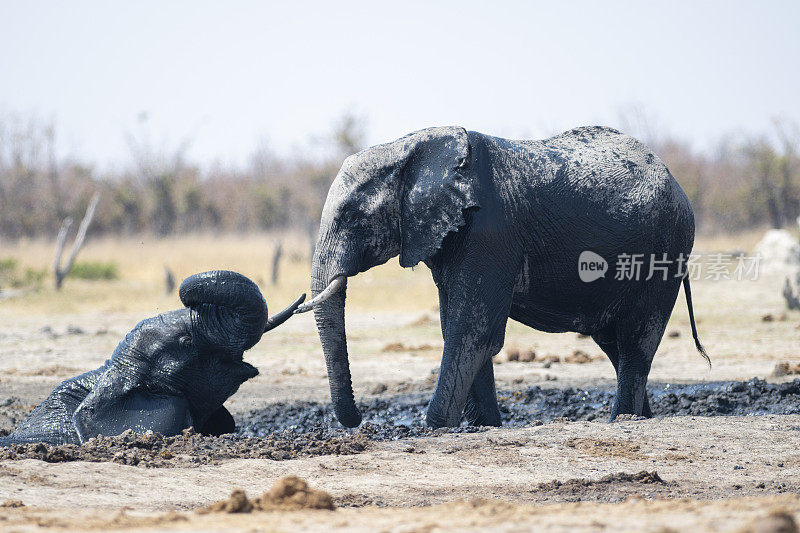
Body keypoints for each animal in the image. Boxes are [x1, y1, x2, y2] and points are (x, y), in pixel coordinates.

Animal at [296, 124, 708, 428]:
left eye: (351, 217)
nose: (358, 421)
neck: (410, 148)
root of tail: (675, 181)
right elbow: (459, 327)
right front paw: (483, 425)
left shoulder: (488, 234)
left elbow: (470, 330)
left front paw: (436, 425)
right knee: (614, 343)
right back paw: (641, 416)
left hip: (664, 250)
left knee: (636, 340)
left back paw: (621, 419)